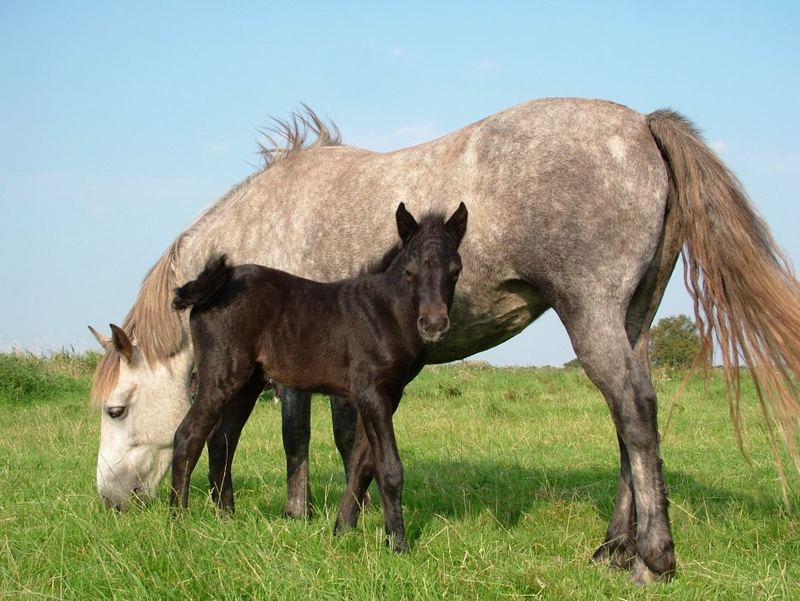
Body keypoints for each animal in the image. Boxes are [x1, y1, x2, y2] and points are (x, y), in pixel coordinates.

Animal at [170, 200, 468, 548]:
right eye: (409, 272)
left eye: (456, 271)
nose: (433, 325)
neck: (385, 313)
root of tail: (208, 291)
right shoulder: (371, 391)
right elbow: (388, 467)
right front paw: (398, 543)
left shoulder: (388, 395)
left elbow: (362, 464)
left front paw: (342, 529)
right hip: (219, 377)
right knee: (188, 436)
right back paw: (178, 521)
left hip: (248, 383)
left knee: (222, 440)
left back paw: (226, 518)